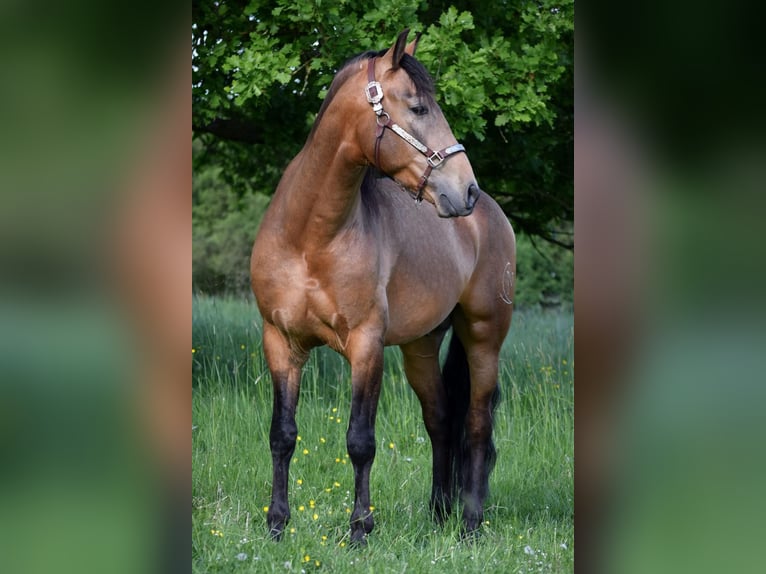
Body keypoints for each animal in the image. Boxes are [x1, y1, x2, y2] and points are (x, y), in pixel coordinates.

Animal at [250, 29, 515, 545]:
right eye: (419, 108)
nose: (466, 189)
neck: (310, 238)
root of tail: (491, 215)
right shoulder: (281, 343)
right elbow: (281, 434)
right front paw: (276, 524)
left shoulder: (367, 345)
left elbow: (360, 440)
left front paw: (360, 529)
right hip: (420, 347)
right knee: (441, 420)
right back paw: (438, 513)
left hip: (483, 338)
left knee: (476, 424)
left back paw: (470, 523)